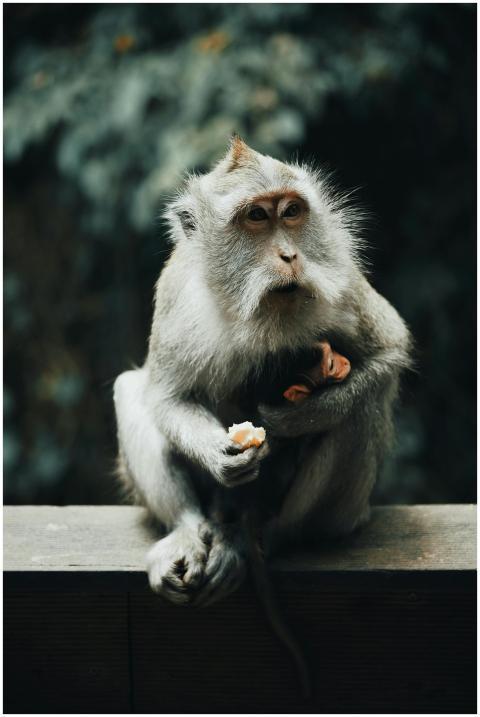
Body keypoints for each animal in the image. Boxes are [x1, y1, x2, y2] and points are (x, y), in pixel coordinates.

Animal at [113, 136, 411, 610]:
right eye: (256, 216)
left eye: (291, 211)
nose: (290, 254)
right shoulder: (178, 293)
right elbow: (167, 396)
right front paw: (221, 454)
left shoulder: (341, 279)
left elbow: (390, 350)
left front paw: (295, 419)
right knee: (130, 389)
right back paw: (187, 529)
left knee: (361, 409)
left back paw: (270, 536)